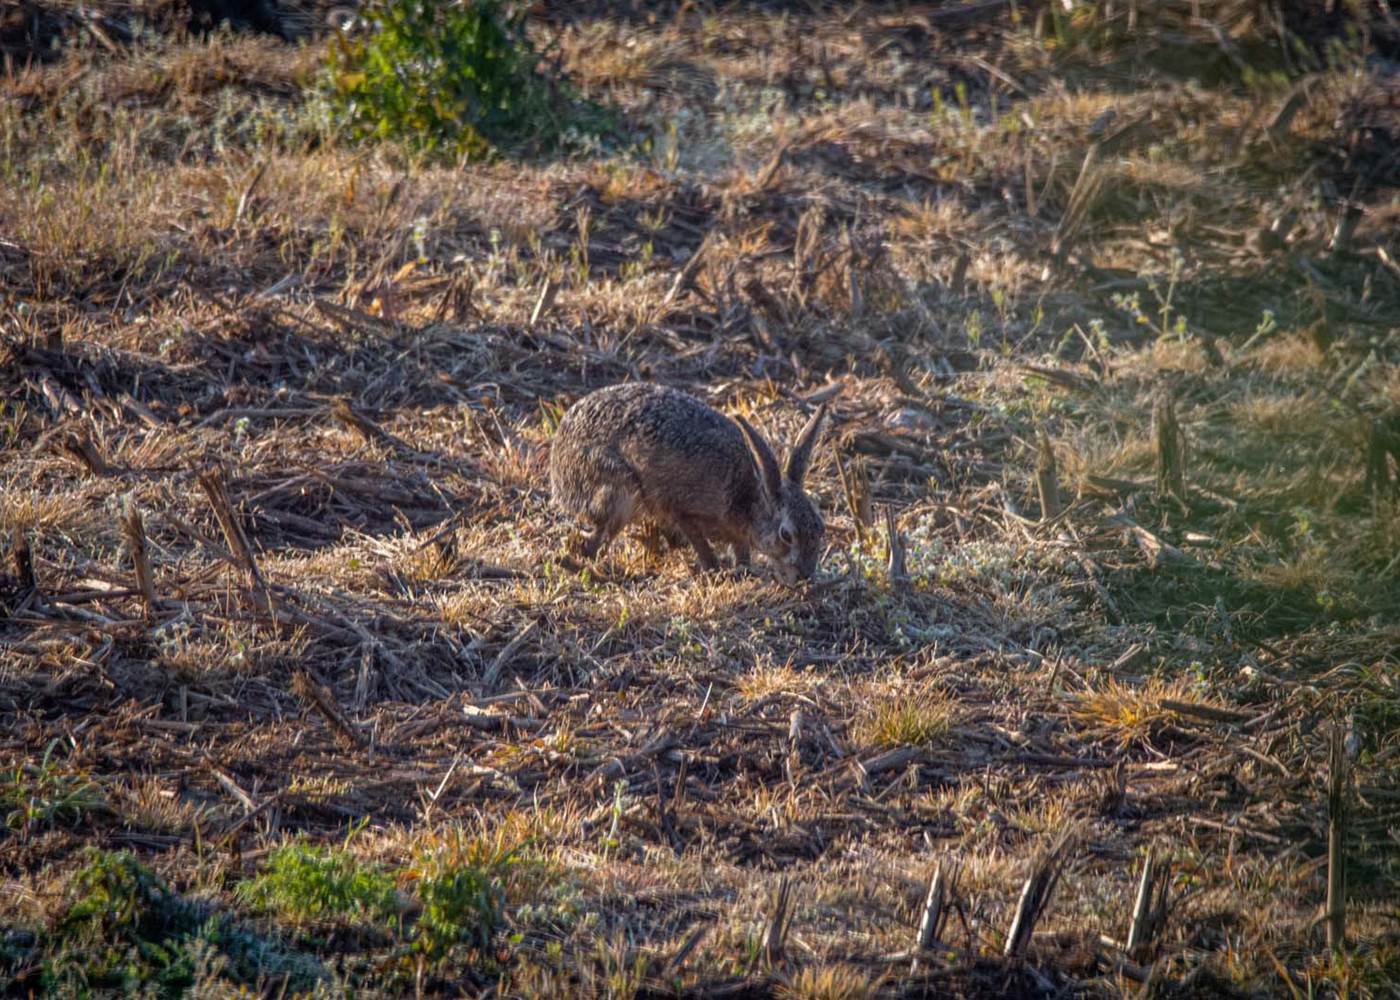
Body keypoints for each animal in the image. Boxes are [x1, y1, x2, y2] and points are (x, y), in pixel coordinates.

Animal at [549, 383, 828, 585]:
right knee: (596, 539)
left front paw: (743, 569)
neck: (748, 496)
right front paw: (717, 572)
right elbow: (701, 545)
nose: (805, 576)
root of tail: (558, 455)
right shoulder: (683, 510)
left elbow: (741, 549)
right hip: (618, 492)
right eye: (786, 535)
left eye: (820, 527)